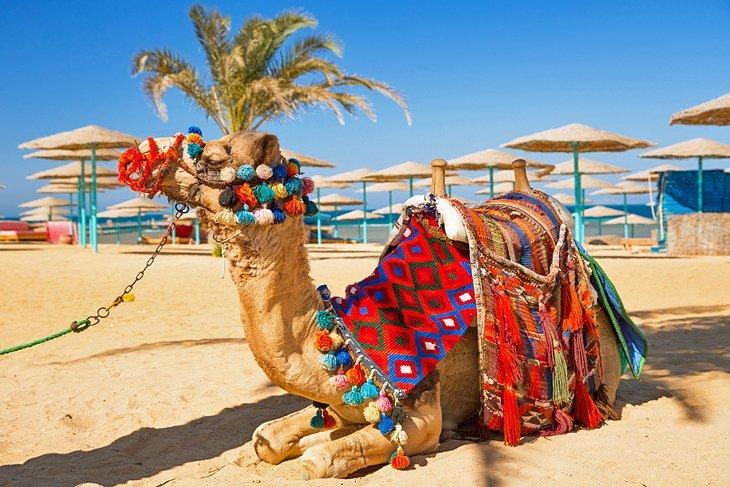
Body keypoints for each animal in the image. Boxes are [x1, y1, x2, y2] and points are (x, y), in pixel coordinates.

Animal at [143, 130, 622, 479]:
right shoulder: (338, 403)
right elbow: (267, 438)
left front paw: (319, 449)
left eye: (213, 157)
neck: (346, 339)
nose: (155, 156)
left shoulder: (423, 414)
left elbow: (318, 460)